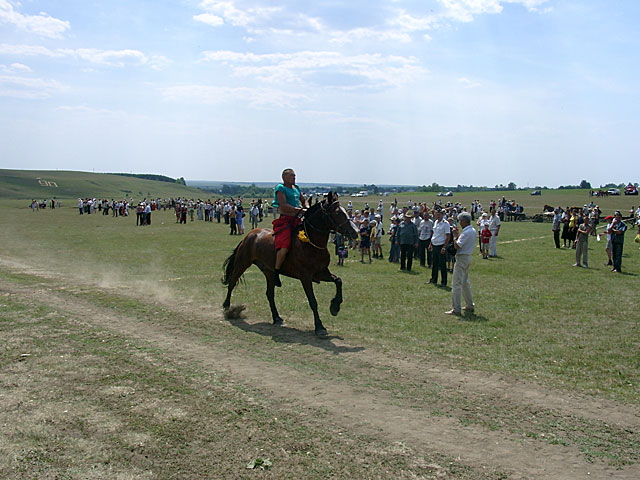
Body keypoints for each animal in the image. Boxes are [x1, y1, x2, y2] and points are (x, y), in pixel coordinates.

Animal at [221, 191, 360, 338]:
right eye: (337, 213)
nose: (354, 232)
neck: (310, 243)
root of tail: (250, 235)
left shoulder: (321, 273)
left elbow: (338, 281)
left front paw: (335, 306)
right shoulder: (305, 277)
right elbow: (313, 301)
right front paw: (319, 326)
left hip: (269, 272)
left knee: (269, 294)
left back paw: (276, 317)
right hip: (242, 263)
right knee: (232, 282)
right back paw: (227, 306)